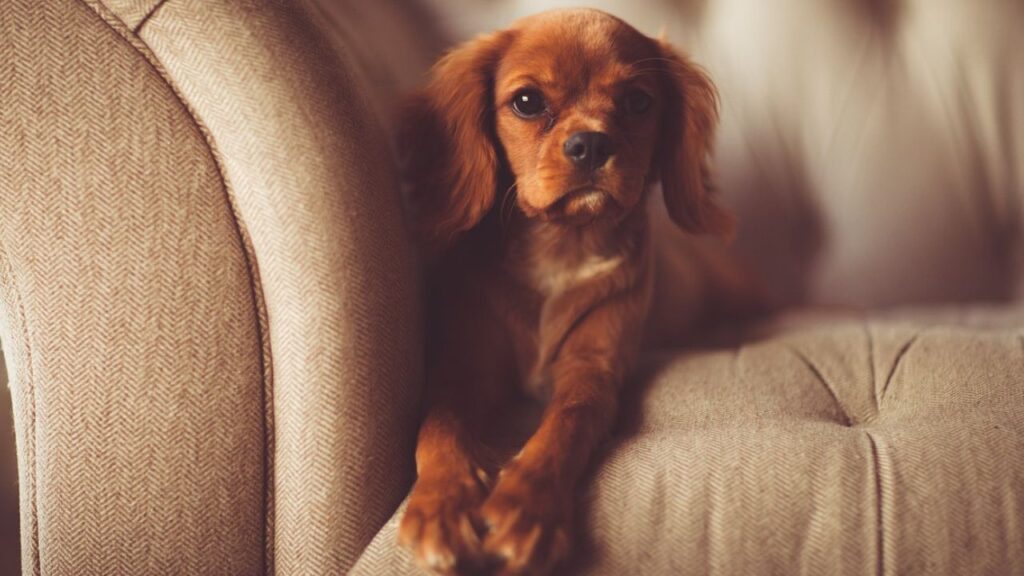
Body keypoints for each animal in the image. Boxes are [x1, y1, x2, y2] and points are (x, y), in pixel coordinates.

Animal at [397, 8, 745, 573]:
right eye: (527, 101)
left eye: (638, 102)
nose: (591, 144)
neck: (564, 245)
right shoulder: (463, 369)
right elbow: (438, 426)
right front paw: (441, 503)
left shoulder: (593, 369)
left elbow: (566, 423)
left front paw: (527, 506)